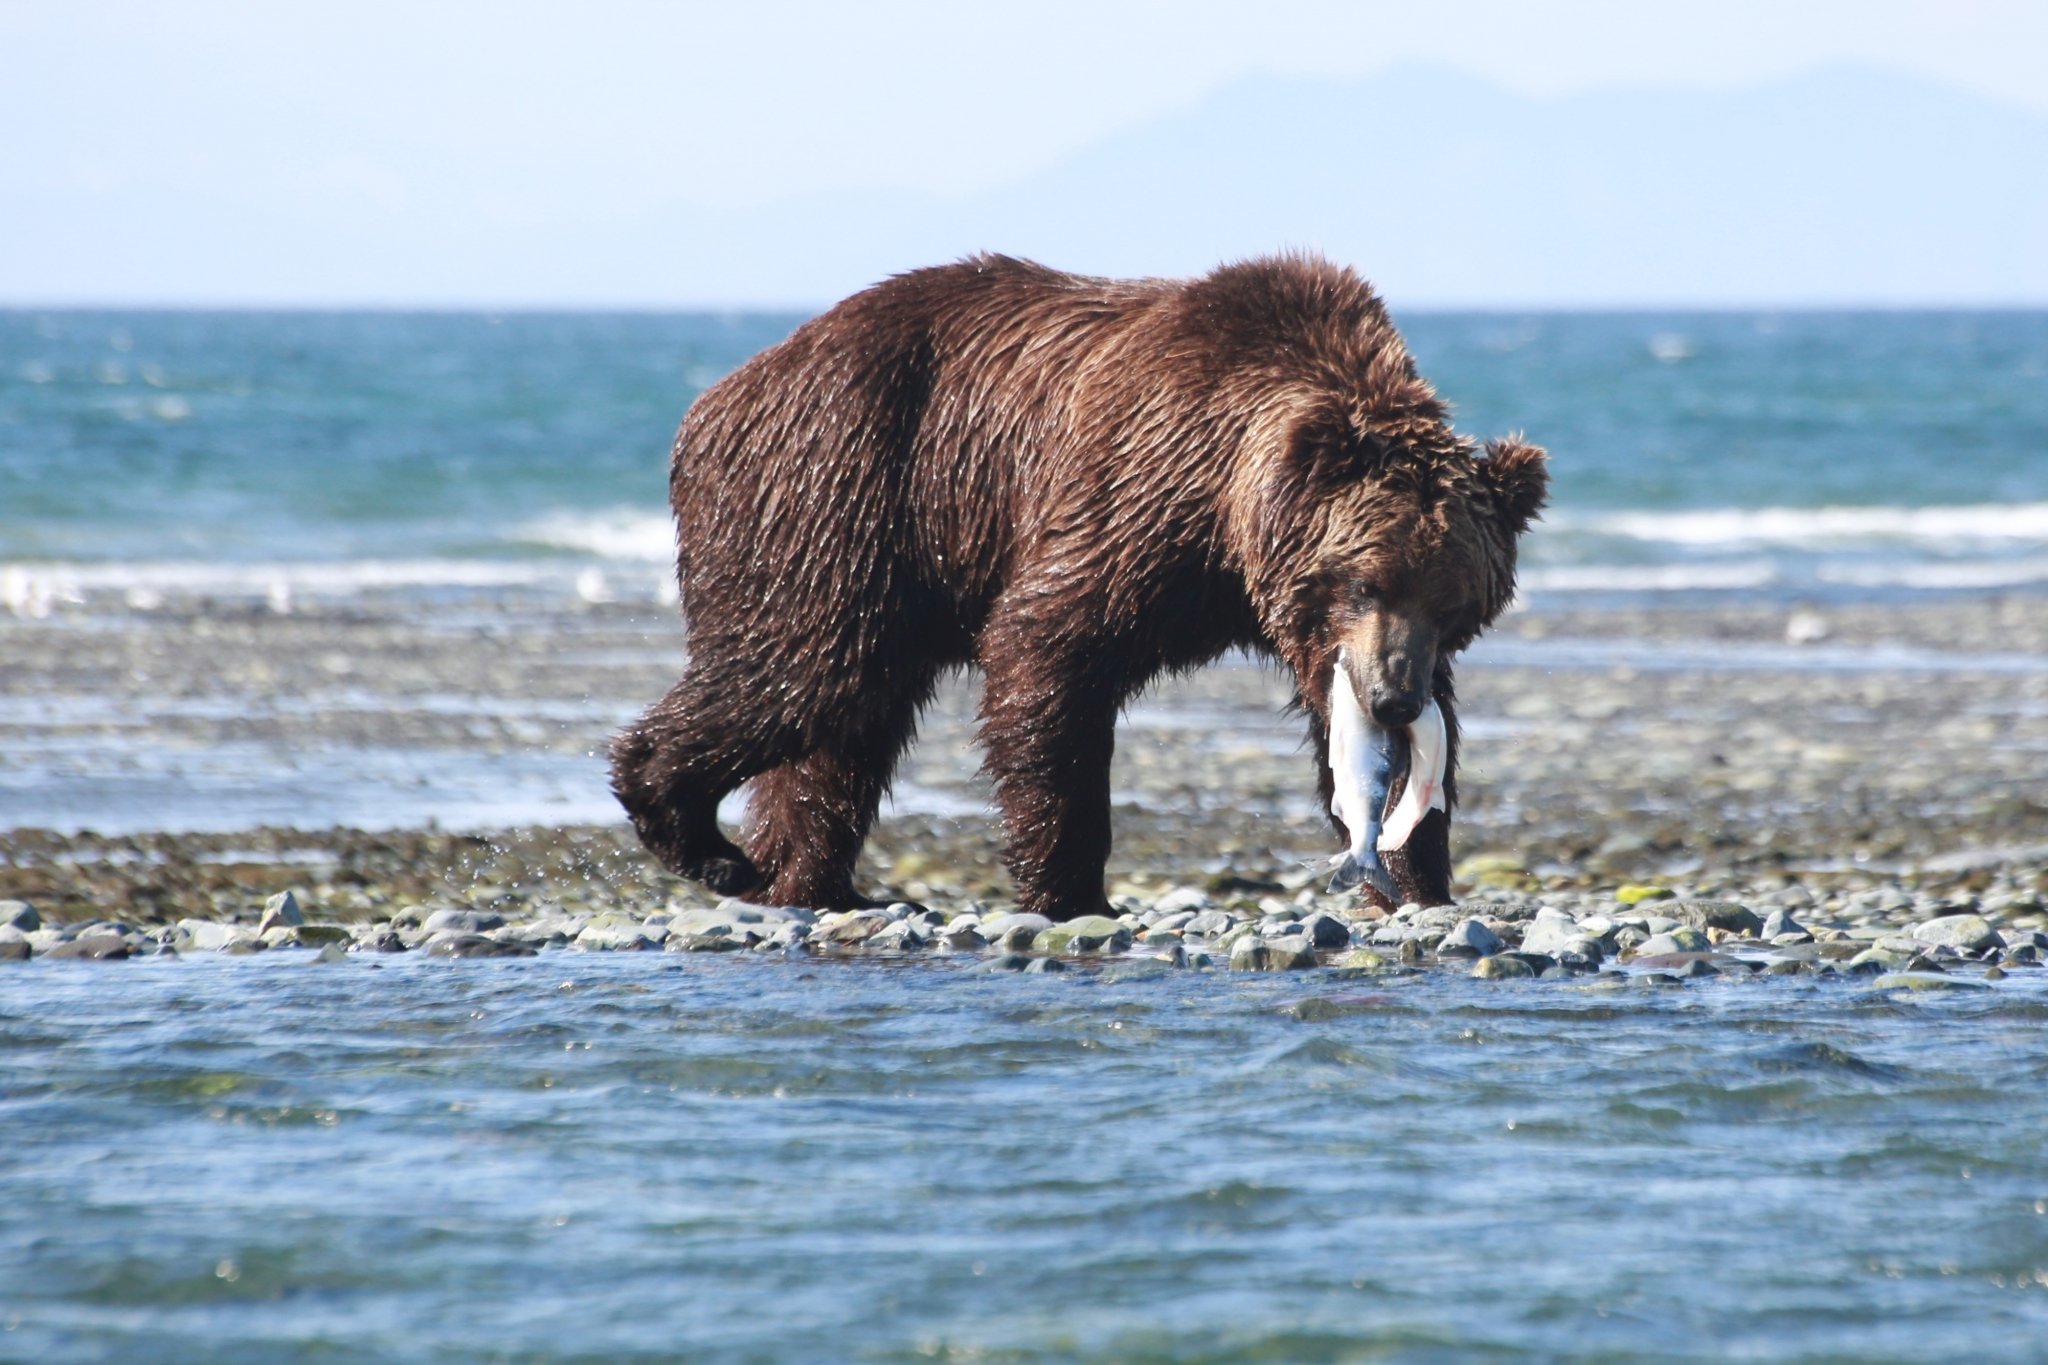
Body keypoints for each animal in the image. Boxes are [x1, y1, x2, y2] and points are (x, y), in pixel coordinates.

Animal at [611, 252, 1547, 921]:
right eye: (1365, 580)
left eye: (1456, 604)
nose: (1393, 697)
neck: (1227, 508)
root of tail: (717, 398)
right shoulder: (1135, 488)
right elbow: (1046, 650)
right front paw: (1071, 890)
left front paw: (1420, 878)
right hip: (835, 485)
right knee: (802, 670)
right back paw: (699, 836)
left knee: (846, 725)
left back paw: (804, 877)